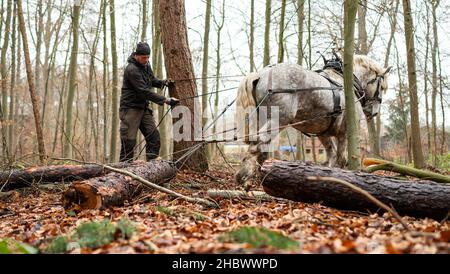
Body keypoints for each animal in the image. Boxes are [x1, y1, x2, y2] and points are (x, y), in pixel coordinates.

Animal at [236, 54, 390, 185]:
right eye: (381, 87)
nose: (374, 112)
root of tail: (260, 74)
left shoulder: (322, 133)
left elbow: (330, 156)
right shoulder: (344, 133)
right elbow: (341, 159)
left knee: (262, 148)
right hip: (278, 120)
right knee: (257, 143)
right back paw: (244, 176)